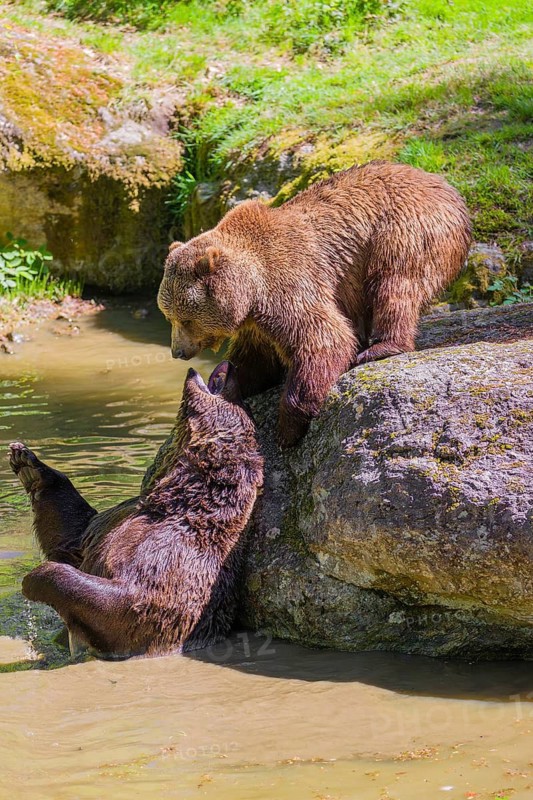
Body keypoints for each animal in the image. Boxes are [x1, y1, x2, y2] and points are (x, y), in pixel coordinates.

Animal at [9, 362, 263, 659]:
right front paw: (27, 461)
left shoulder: (172, 563)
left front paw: (33, 579)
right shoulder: (110, 525)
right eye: (245, 401)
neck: (175, 500)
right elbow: (73, 535)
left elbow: (124, 605)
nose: (231, 365)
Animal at [158, 161, 471, 447]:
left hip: (403, 230)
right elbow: (257, 358)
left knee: (394, 284)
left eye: (186, 318)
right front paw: (229, 378)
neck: (251, 290)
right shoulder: (255, 322)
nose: (178, 352)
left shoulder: (287, 283)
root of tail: (444, 185)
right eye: (169, 316)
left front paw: (287, 429)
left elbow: (324, 338)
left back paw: (382, 346)